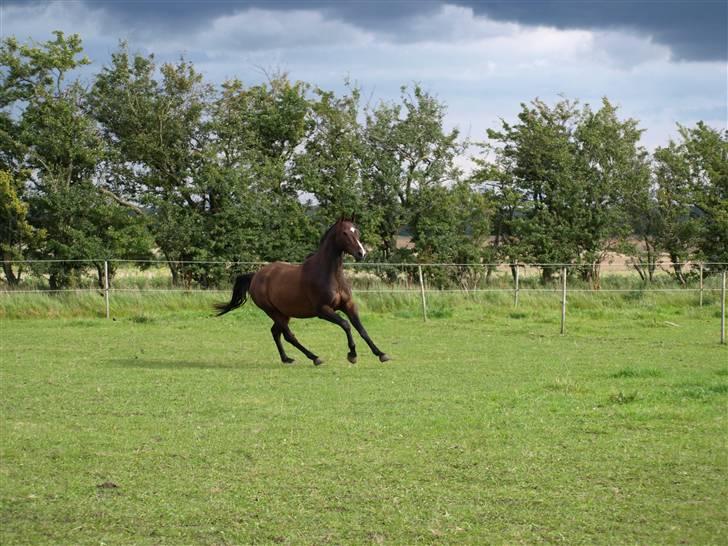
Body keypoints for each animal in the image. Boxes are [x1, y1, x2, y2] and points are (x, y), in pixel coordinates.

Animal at [213, 218, 390, 366]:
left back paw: (286, 358)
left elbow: (362, 329)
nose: (361, 253)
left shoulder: (348, 306)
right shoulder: (323, 310)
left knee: (276, 332)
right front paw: (352, 355)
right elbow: (346, 325)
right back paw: (315, 357)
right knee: (288, 335)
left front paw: (381, 354)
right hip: (272, 312)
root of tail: (255, 276)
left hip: (283, 313)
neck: (330, 274)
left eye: (357, 231)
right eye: (345, 233)